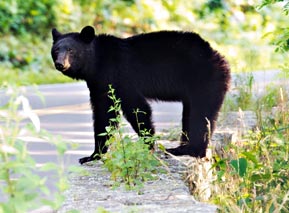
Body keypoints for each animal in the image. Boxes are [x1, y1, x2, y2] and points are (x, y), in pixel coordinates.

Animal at [49, 25, 230, 164]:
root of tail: (217, 56)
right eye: (56, 49)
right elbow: (103, 115)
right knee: (191, 114)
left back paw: (190, 150)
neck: (97, 63)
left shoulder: (120, 76)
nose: (60, 64)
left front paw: (148, 146)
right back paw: (181, 147)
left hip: (204, 80)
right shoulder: (99, 85)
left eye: (71, 50)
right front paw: (92, 155)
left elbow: (136, 107)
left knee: (201, 114)